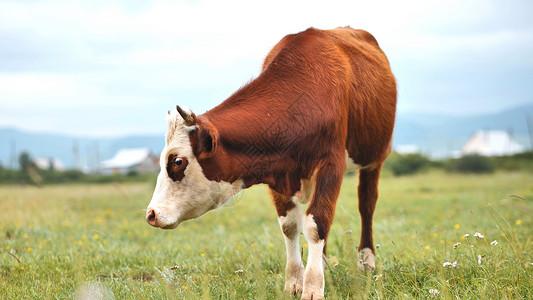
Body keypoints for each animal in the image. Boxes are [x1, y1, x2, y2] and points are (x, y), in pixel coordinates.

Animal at [145, 27, 394, 298]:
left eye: (178, 161)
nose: (151, 213)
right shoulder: (276, 171)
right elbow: (291, 225)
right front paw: (295, 282)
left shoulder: (331, 165)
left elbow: (317, 222)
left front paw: (313, 286)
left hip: (374, 159)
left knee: (366, 205)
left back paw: (366, 261)